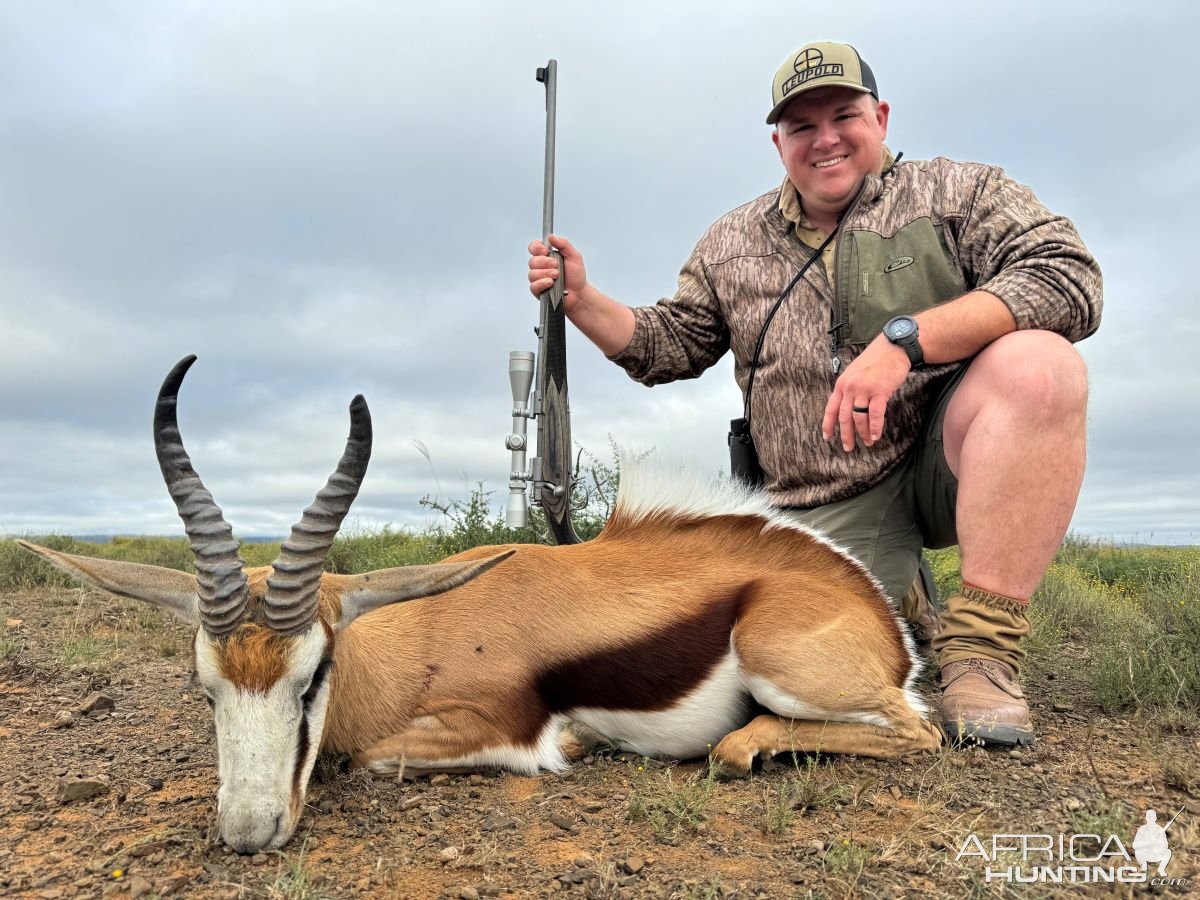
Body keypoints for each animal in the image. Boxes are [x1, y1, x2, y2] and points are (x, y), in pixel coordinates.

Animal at [16, 357, 936, 854]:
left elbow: (378, 756)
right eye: (203, 687)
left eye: (312, 677)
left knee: (903, 736)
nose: (249, 830)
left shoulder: (493, 730)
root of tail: (869, 607)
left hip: (789, 670)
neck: (417, 635)